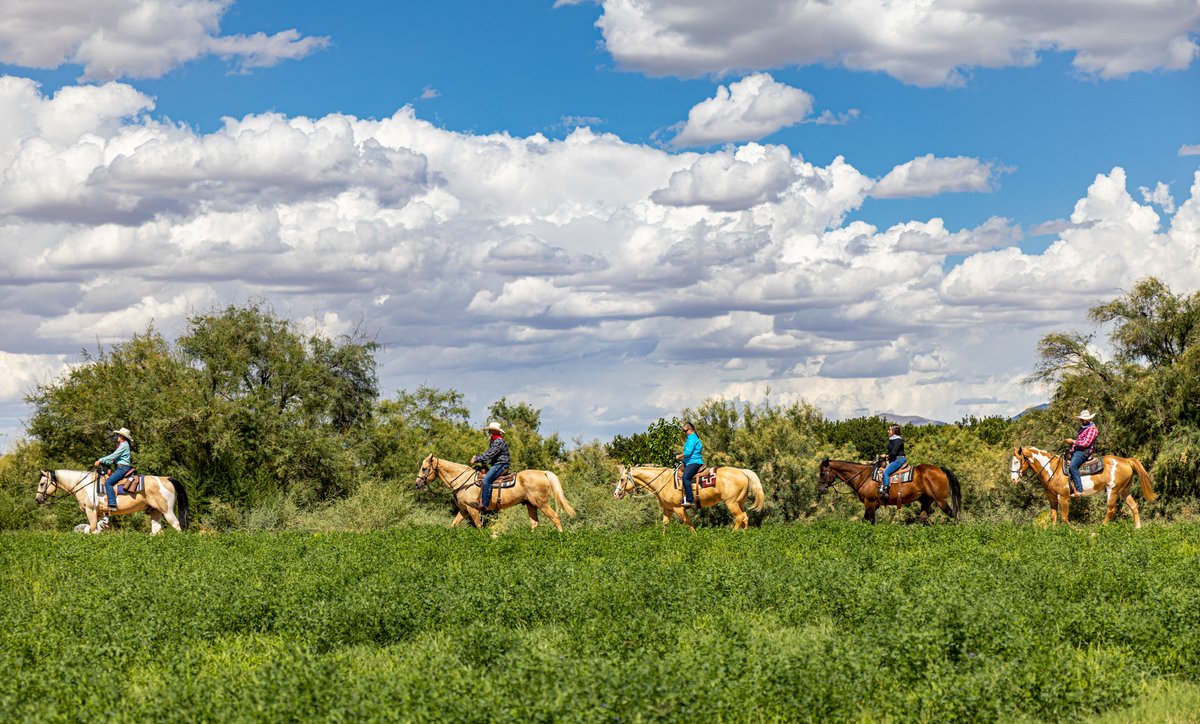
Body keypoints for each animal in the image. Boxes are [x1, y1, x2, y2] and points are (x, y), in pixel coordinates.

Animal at [33, 468, 189, 535]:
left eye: (42, 483)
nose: (38, 500)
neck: (83, 485)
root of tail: (166, 478)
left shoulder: (91, 511)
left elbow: (90, 529)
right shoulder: (99, 514)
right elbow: (95, 529)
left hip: (167, 511)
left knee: (177, 526)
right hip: (155, 512)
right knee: (156, 531)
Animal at [415, 458, 578, 533]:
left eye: (424, 468)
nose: (417, 483)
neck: (463, 481)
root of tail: (543, 472)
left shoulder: (473, 510)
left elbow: (479, 526)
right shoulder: (463, 510)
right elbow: (453, 525)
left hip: (542, 503)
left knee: (555, 517)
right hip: (531, 505)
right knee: (534, 523)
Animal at [614, 463, 763, 533]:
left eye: (622, 479)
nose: (616, 494)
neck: (663, 481)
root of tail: (742, 472)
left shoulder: (679, 508)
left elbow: (688, 523)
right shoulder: (668, 510)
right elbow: (665, 525)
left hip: (731, 503)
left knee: (739, 517)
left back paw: (733, 534)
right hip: (740, 502)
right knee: (745, 518)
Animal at [811, 458, 960, 525]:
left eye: (822, 473)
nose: (820, 489)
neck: (862, 476)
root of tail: (940, 469)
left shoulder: (870, 503)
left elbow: (871, 521)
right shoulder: (873, 505)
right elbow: (864, 520)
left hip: (940, 500)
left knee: (953, 514)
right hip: (926, 500)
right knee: (923, 518)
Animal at [1008, 444, 1156, 530]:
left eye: (1016, 461)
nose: (1014, 479)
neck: (1052, 469)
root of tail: (1126, 460)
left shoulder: (1064, 497)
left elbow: (1064, 517)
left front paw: (1075, 531)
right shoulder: (1052, 498)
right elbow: (1054, 516)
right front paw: (1053, 533)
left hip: (1112, 490)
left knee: (1110, 511)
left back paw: (1096, 532)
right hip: (1124, 491)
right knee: (1134, 506)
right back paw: (1138, 529)